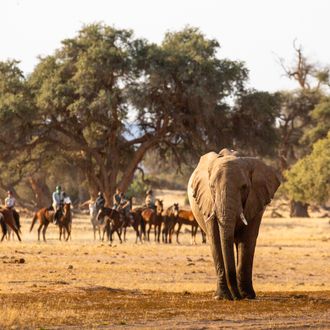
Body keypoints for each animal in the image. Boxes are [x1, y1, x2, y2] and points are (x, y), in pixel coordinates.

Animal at [187, 148, 280, 300]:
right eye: (212, 187)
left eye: (244, 187)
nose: (236, 297)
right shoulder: (208, 202)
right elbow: (216, 241)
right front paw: (222, 297)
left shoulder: (255, 201)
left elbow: (247, 240)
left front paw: (247, 296)